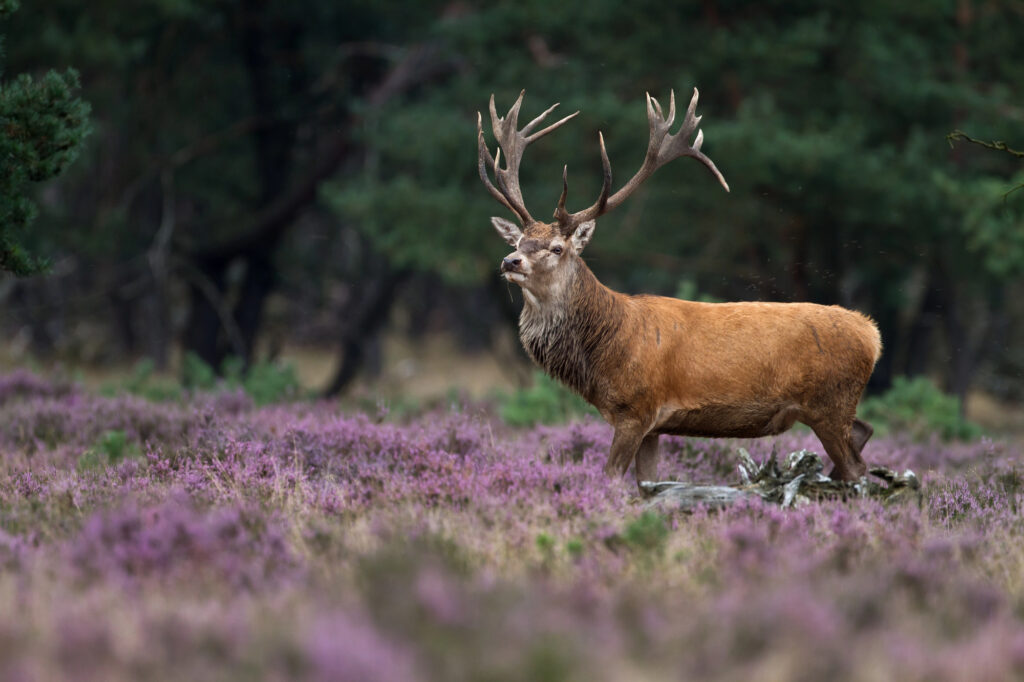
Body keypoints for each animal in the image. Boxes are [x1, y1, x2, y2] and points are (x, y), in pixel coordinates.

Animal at [475, 87, 884, 489]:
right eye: (519, 241)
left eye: (557, 248)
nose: (510, 262)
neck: (606, 352)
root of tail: (872, 332)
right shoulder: (653, 427)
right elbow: (646, 486)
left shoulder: (636, 409)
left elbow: (612, 478)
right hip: (836, 407)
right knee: (865, 432)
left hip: (830, 402)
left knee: (857, 468)